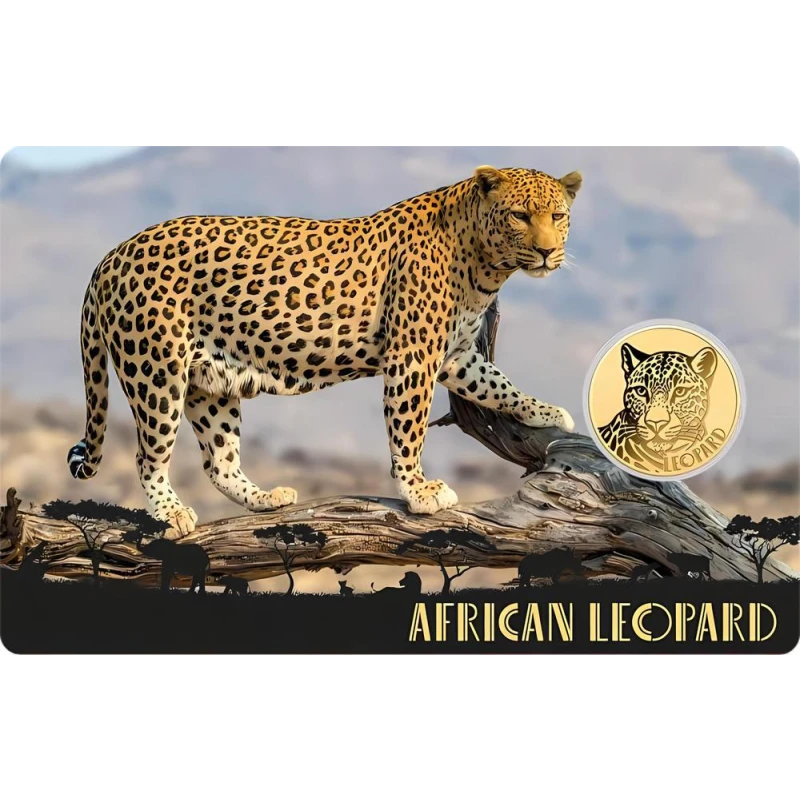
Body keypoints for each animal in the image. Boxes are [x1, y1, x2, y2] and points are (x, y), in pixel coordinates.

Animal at [69, 165, 582, 535]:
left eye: (557, 217)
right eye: (519, 216)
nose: (546, 252)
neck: (486, 267)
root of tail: (108, 257)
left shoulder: (456, 355)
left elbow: (498, 385)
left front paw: (546, 412)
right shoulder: (412, 356)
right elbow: (409, 429)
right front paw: (418, 491)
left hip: (209, 382)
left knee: (219, 461)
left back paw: (265, 499)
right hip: (156, 370)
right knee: (149, 456)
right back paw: (171, 513)